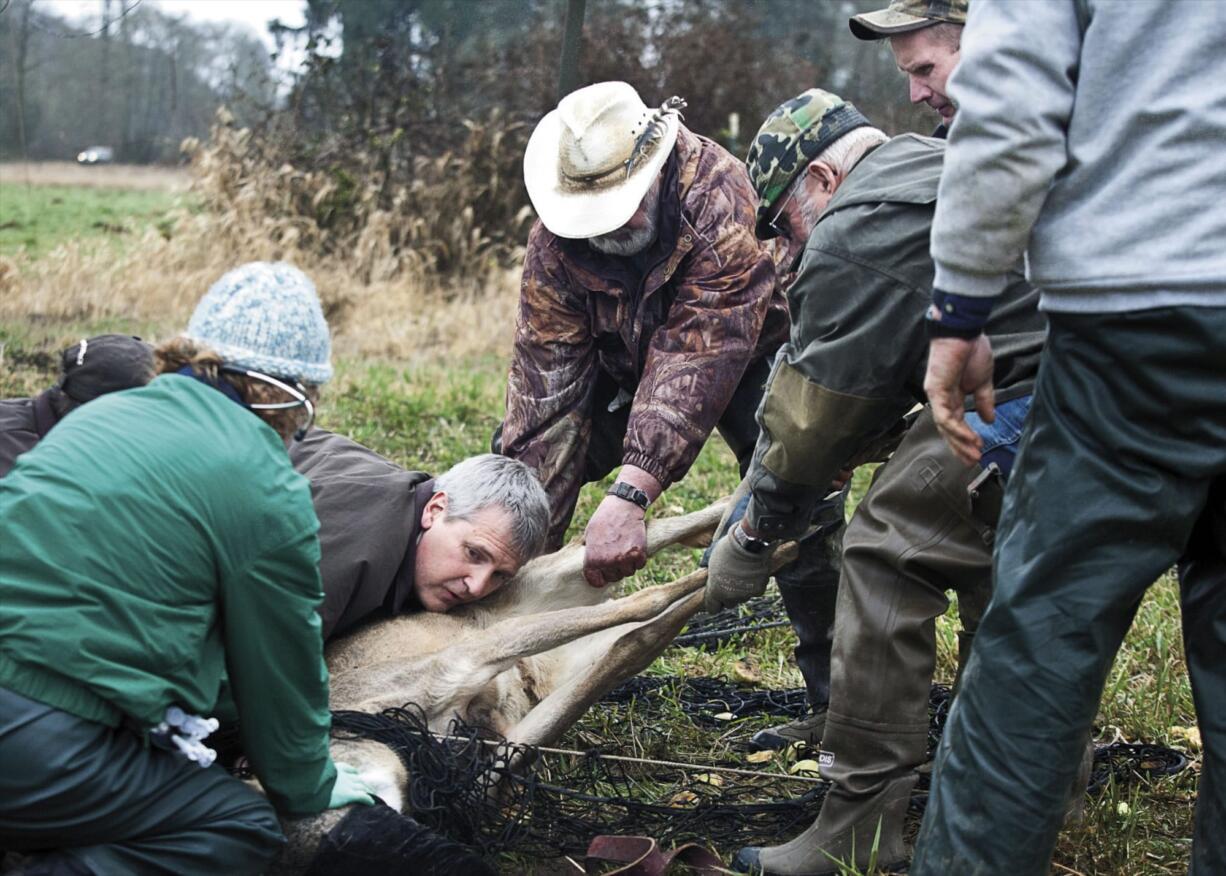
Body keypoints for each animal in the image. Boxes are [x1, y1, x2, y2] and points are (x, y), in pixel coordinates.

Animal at [274, 497, 799, 872]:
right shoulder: (494, 757)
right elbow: (637, 635)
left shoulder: (462, 658)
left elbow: (646, 598)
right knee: (634, 639)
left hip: (556, 575)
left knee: (648, 543)